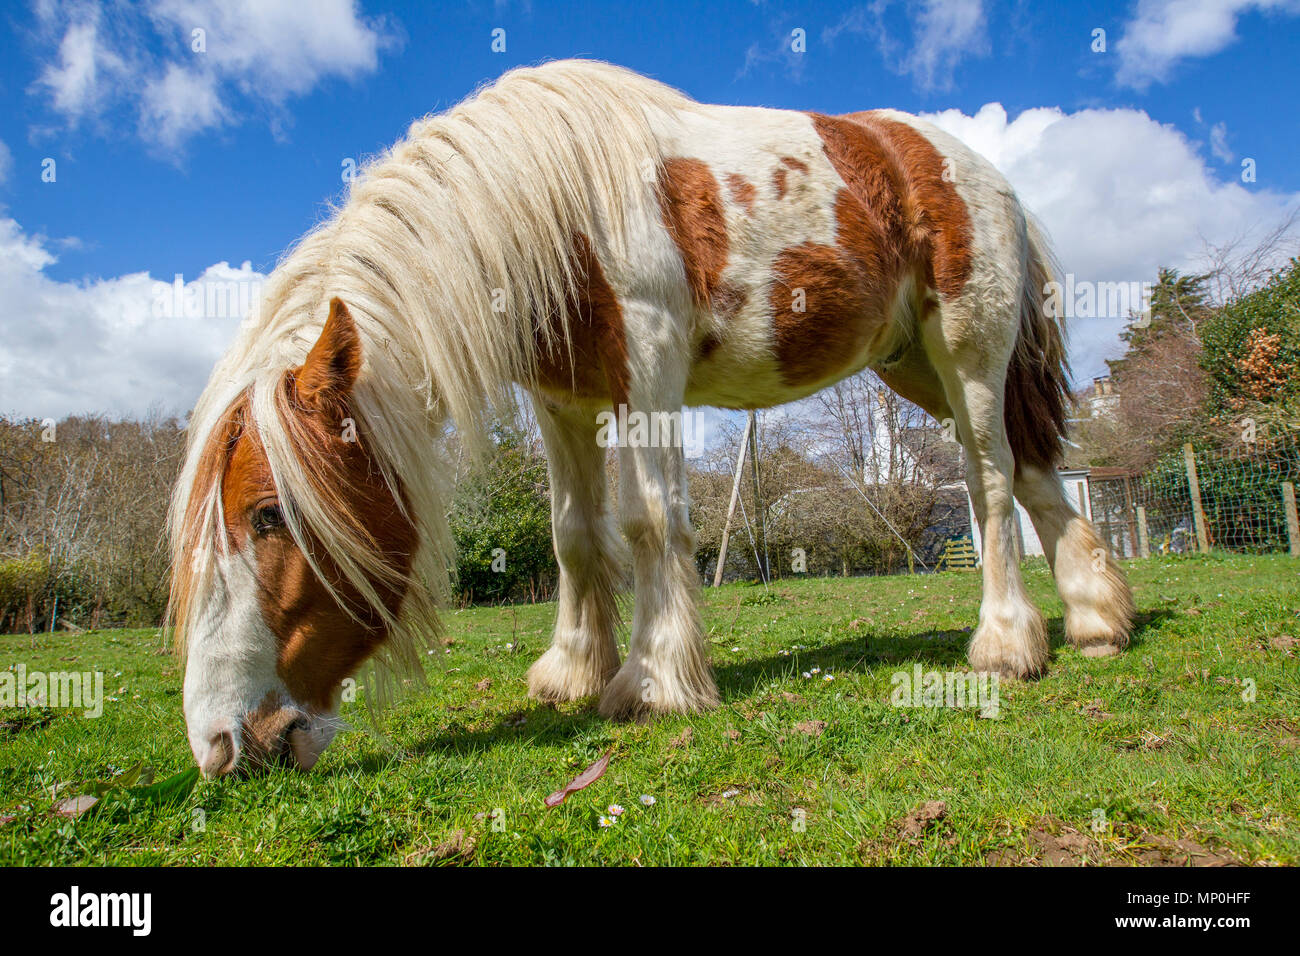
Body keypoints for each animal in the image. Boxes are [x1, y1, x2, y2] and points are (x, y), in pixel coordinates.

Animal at [170, 57, 1128, 780]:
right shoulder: (562, 403)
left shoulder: (650, 366)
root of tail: (980, 171)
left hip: (966, 351)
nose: (220, 747)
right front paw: (572, 669)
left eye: (267, 514)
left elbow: (648, 521)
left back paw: (1007, 642)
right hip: (914, 366)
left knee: (991, 480)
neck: (555, 202)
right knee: (1037, 473)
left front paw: (655, 679)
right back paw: (1095, 620)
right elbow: (574, 535)